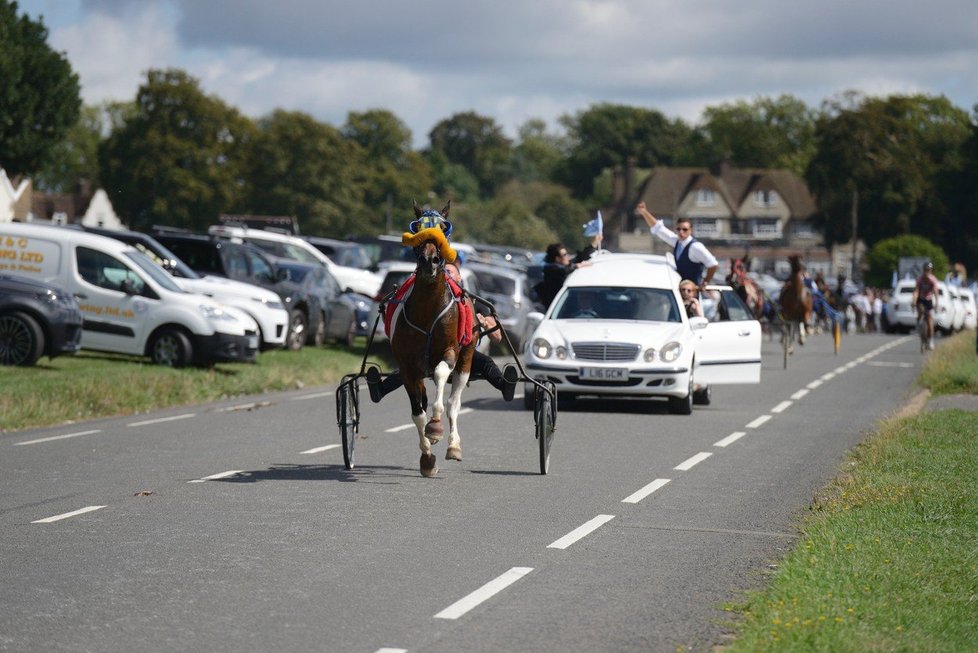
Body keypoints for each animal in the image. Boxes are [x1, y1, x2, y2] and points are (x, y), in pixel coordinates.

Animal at [386, 201, 474, 476]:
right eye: (417, 228)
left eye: (443, 227)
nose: (429, 261)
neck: (428, 311)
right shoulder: (407, 366)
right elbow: (417, 413)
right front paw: (427, 458)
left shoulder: (450, 351)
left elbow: (441, 375)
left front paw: (435, 426)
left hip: (466, 359)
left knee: (454, 403)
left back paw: (453, 445)